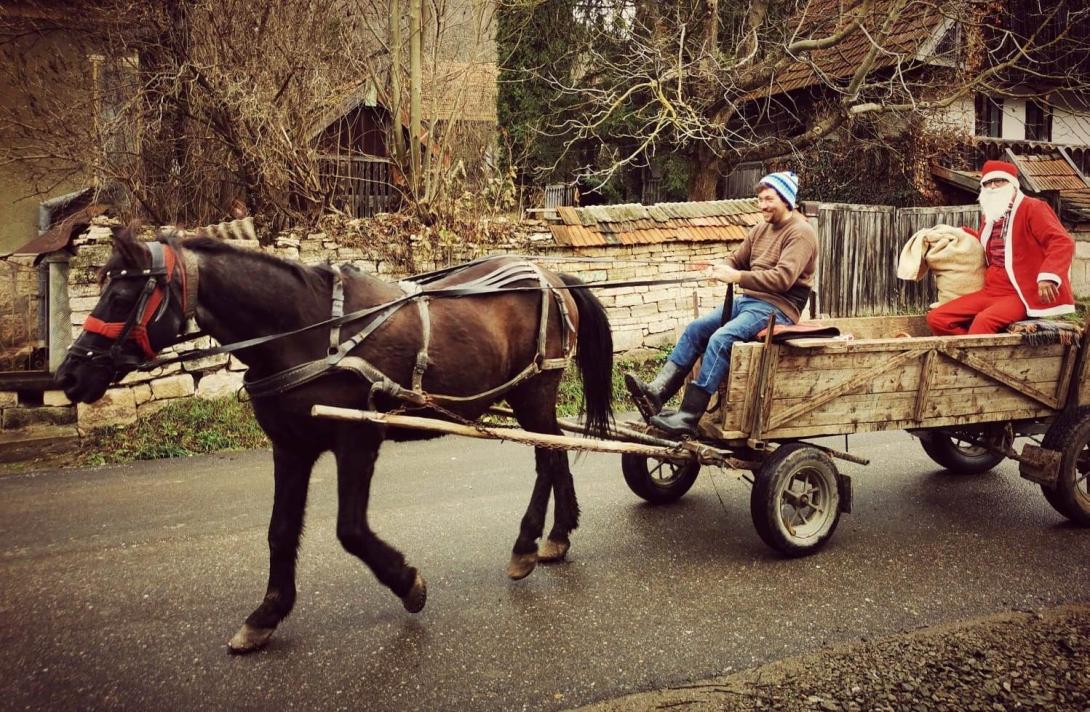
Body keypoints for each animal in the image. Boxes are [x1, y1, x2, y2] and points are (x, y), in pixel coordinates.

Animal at [55, 226, 614, 649]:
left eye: (121, 295)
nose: (67, 376)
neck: (307, 329)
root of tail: (552, 276)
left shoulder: (357, 438)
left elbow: (350, 530)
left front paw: (407, 584)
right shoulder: (290, 446)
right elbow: (280, 531)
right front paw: (266, 614)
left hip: (534, 394)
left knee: (547, 460)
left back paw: (529, 543)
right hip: (529, 399)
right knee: (557, 456)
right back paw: (557, 536)